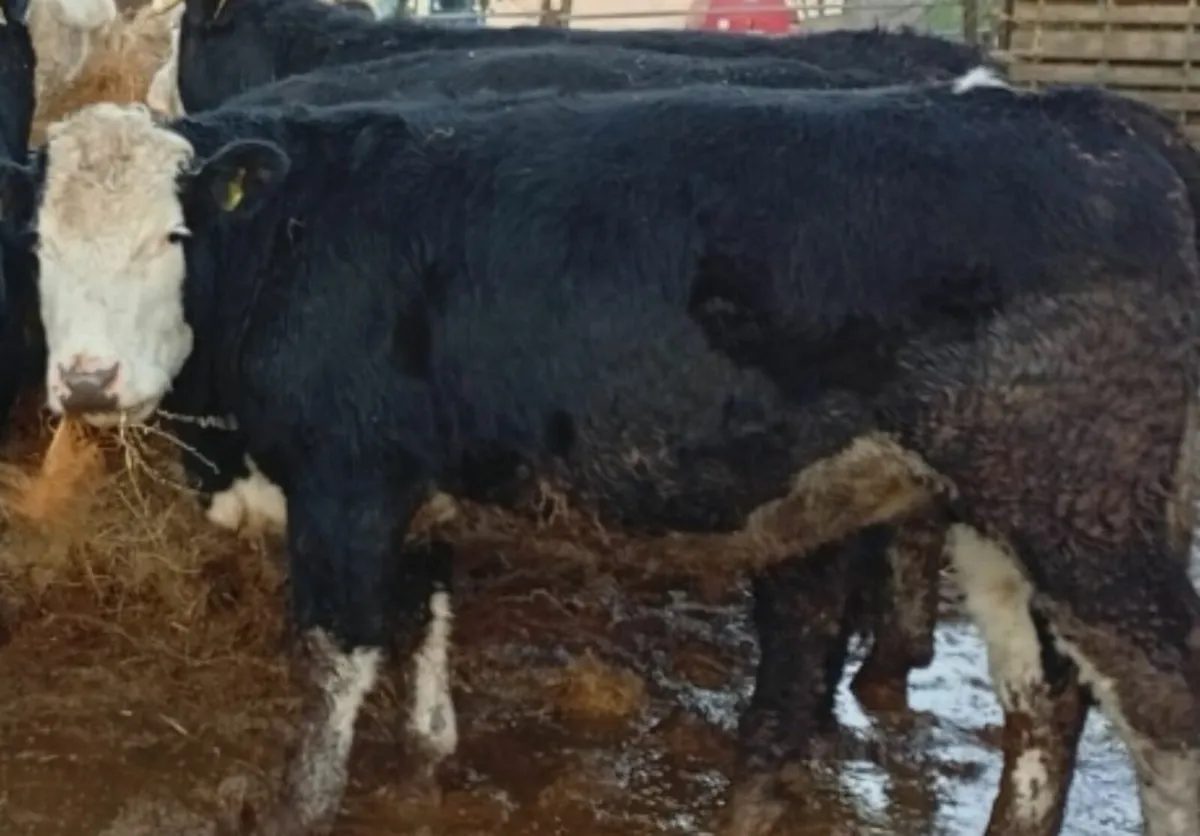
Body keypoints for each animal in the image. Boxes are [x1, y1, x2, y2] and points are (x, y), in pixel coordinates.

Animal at [9, 67, 1200, 835]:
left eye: (173, 235)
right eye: (38, 246)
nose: (88, 382)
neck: (300, 238)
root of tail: (1122, 129)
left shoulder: (345, 489)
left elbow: (330, 673)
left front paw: (303, 805)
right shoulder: (418, 489)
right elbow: (427, 624)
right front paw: (429, 765)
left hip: (1085, 510)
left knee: (1163, 709)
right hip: (991, 514)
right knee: (1045, 696)